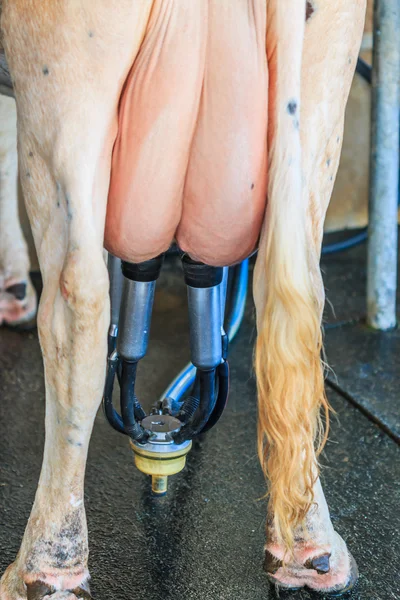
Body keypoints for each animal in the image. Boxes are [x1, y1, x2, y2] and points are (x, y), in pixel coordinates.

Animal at [0, 2, 368, 596]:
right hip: (320, 92)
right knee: (296, 309)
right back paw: (309, 549)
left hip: (64, 86)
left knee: (79, 309)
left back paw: (44, 567)